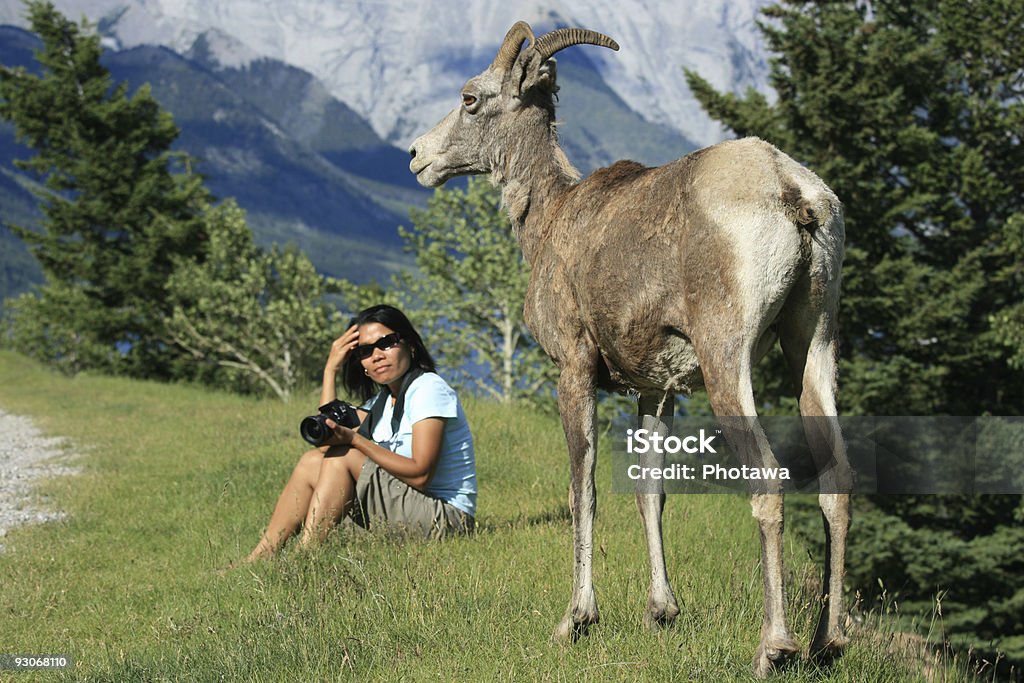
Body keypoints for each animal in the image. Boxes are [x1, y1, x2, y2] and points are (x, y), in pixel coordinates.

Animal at [411, 21, 851, 679]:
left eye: (470, 98)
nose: (417, 155)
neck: (550, 222)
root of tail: (792, 191)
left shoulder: (573, 369)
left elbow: (583, 490)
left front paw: (575, 620)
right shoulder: (655, 390)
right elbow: (651, 494)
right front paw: (660, 612)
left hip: (727, 360)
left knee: (769, 478)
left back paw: (774, 646)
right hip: (814, 344)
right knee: (837, 479)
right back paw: (830, 641)